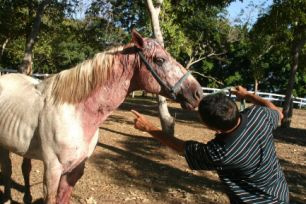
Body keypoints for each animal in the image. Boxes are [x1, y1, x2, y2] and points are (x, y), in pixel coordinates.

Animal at [0, 29, 202, 204]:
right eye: (160, 60)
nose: (198, 93)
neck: (77, 115)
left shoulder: (75, 170)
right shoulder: (52, 171)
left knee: (21, 168)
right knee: (8, 169)